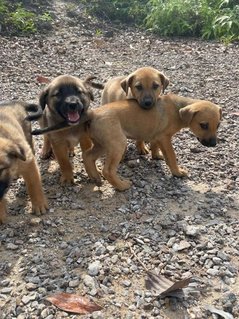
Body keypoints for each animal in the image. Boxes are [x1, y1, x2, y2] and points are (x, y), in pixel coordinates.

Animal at [82, 94, 222, 191]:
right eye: (203, 125)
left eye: (218, 125)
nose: (213, 144)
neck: (177, 109)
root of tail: (93, 114)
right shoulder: (165, 137)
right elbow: (172, 156)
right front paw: (177, 172)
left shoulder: (157, 136)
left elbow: (156, 147)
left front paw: (157, 156)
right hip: (117, 143)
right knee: (108, 170)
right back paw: (122, 185)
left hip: (102, 144)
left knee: (88, 156)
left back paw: (95, 177)